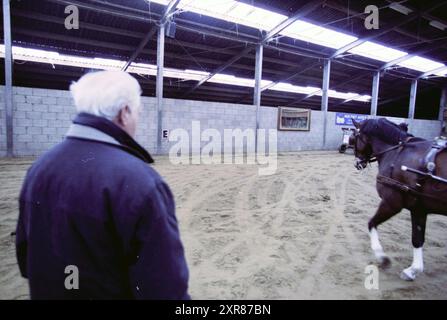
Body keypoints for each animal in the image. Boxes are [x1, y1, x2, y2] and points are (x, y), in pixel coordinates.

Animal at [352, 117, 446, 280]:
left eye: (356, 137)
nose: (357, 163)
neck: (395, 152)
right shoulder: (419, 208)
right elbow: (417, 239)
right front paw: (414, 269)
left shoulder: (392, 203)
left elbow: (371, 223)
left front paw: (382, 258)